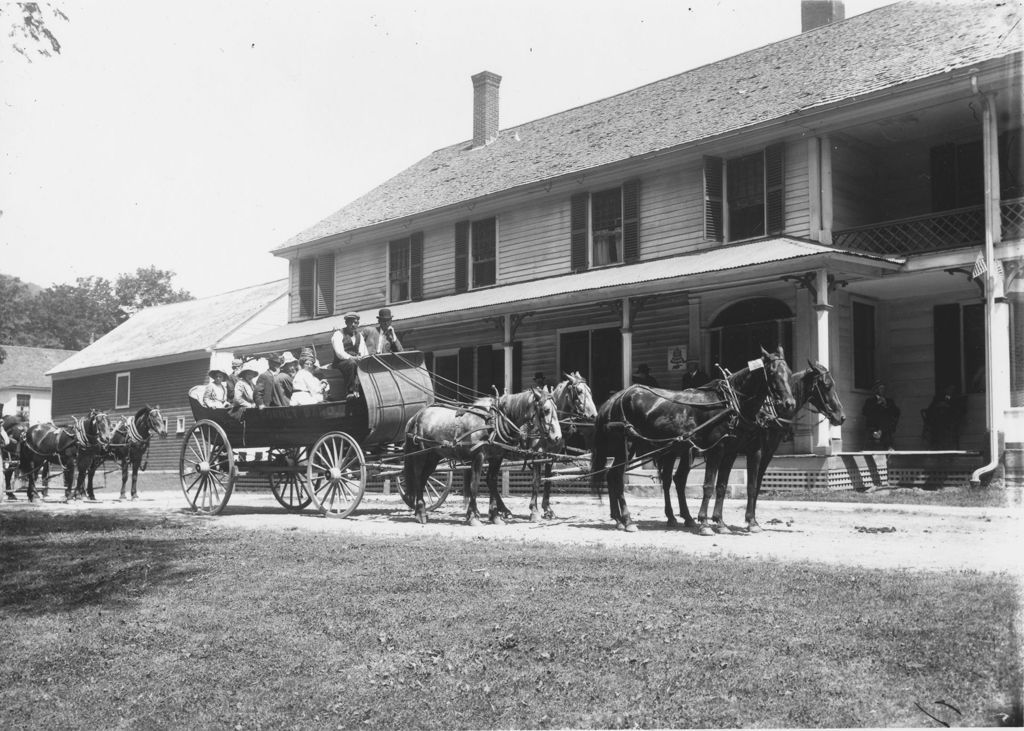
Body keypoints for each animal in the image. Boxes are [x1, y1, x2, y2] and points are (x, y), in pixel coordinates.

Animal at [401, 387, 561, 524]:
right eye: (546, 410)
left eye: (556, 409)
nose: (557, 437)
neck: (494, 421)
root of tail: (415, 416)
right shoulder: (479, 456)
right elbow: (475, 484)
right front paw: (473, 516)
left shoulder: (497, 457)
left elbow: (492, 481)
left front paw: (495, 515)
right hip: (421, 455)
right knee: (418, 478)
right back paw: (421, 512)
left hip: (433, 457)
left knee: (423, 479)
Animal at [589, 344, 794, 532]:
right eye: (772, 372)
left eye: (789, 372)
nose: (789, 403)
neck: (732, 404)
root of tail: (614, 398)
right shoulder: (716, 450)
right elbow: (709, 485)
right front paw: (705, 523)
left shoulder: (733, 451)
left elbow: (727, 485)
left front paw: (724, 523)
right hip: (626, 445)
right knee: (617, 477)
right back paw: (628, 520)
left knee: (616, 475)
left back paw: (621, 519)